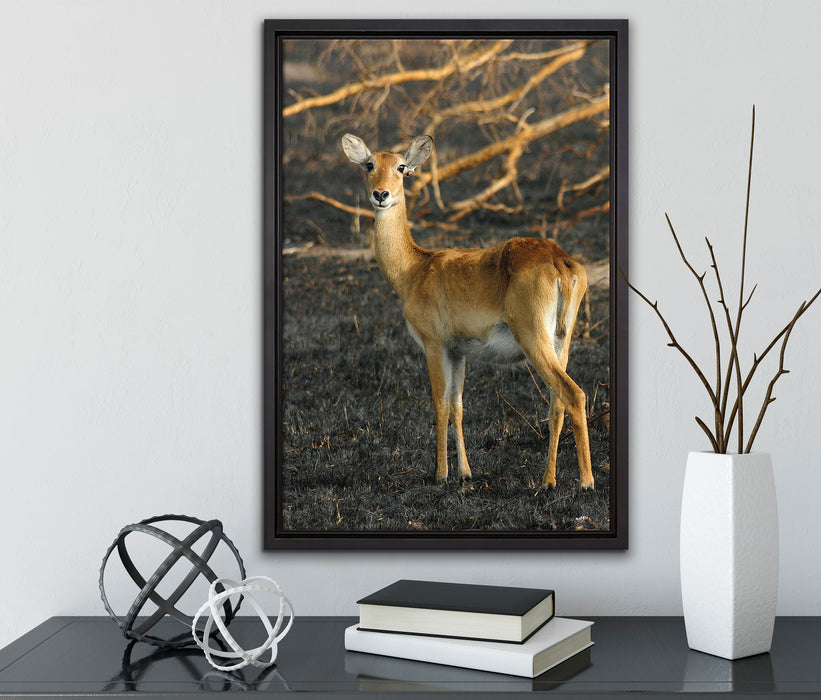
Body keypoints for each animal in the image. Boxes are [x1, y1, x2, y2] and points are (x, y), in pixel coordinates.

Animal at [342, 134, 593, 490]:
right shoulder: (458, 351)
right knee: (557, 400)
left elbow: (440, 403)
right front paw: (464, 472)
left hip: (534, 339)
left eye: (401, 166)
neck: (414, 269)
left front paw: (440, 474)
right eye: (369, 165)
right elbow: (458, 405)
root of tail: (560, 261)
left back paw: (585, 481)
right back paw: (548, 480)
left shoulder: (434, 345)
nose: (381, 194)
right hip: (562, 341)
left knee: (574, 393)